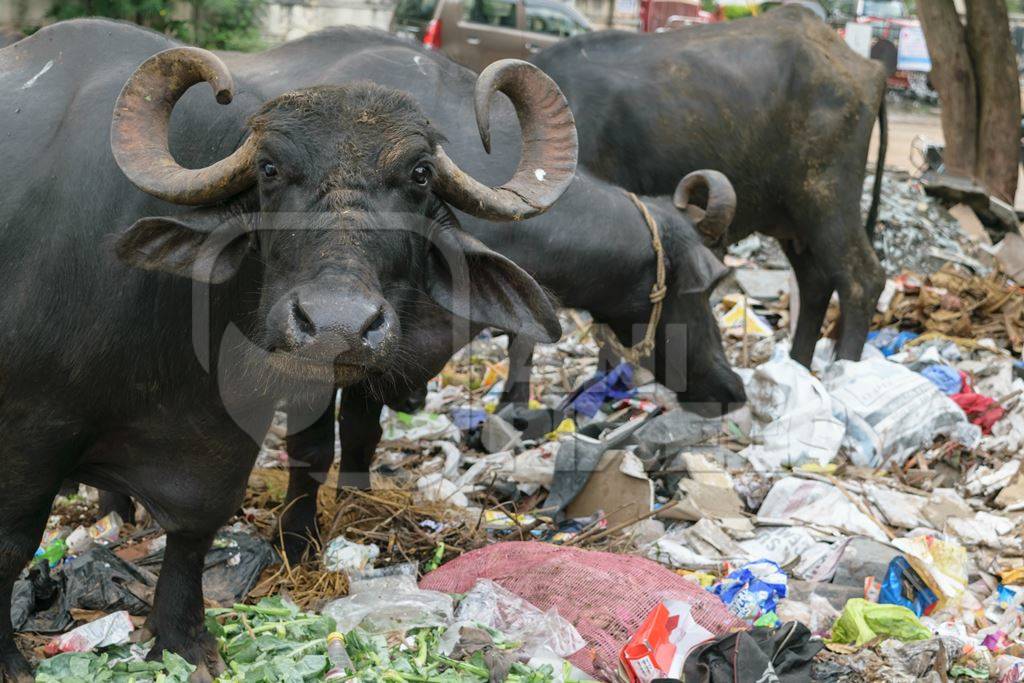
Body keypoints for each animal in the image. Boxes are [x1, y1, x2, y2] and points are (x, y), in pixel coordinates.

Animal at [0, 20, 577, 679]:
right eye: (270, 170)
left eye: (420, 175)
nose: (337, 326)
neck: (164, 360)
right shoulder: (28, 436)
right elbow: (12, 544)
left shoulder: (224, 435)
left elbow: (197, 528)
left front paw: (182, 637)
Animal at [532, 5, 892, 366]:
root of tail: (868, 67)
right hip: (791, 217)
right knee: (815, 283)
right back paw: (799, 364)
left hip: (825, 198)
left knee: (861, 280)